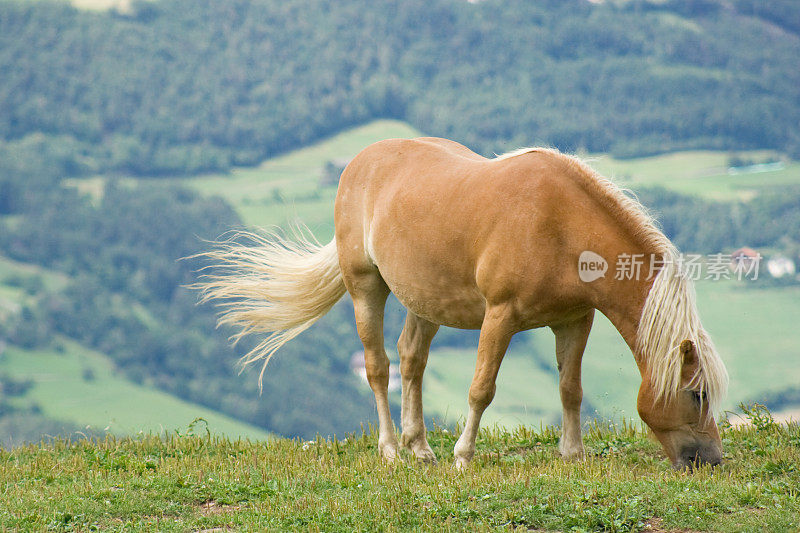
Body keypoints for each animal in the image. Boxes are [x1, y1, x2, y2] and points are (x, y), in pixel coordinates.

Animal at [197, 136, 728, 470]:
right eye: (698, 394)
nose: (711, 461)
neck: (561, 224)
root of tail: (361, 160)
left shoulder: (575, 321)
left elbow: (570, 389)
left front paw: (572, 455)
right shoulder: (501, 317)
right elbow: (481, 389)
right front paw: (463, 457)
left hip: (425, 300)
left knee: (411, 360)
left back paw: (419, 448)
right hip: (366, 286)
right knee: (378, 366)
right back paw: (391, 449)